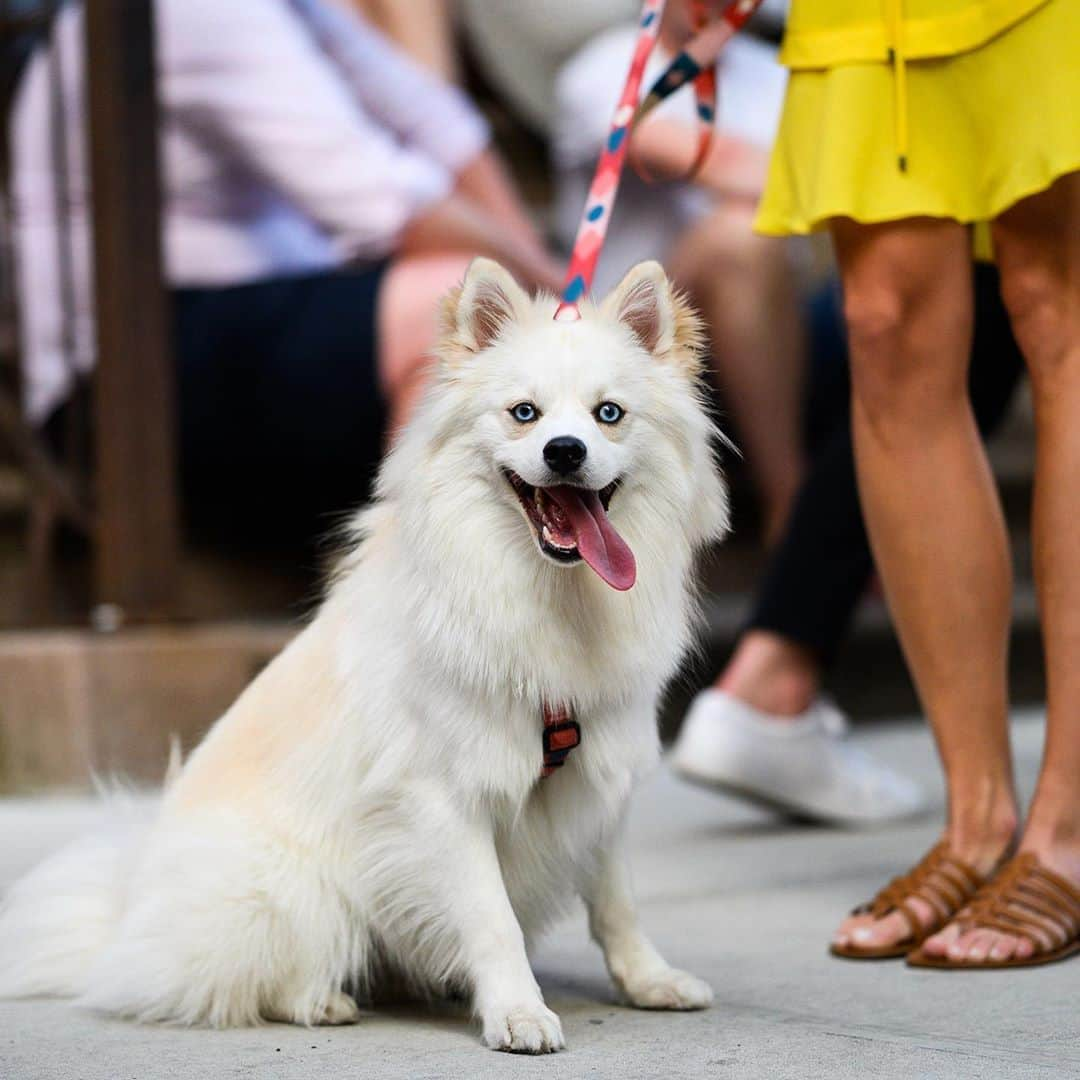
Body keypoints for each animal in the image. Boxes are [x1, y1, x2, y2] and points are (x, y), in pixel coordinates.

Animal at [0, 257, 730, 1049]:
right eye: (524, 414)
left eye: (609, 415)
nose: (564, 452)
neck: (548, 595)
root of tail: (123, 917)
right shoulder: (445, 798)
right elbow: (492, 918)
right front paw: (517, 1011)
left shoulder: (601, 779)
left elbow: (617, 901)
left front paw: (648, 981)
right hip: (293, 889)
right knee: (242, 977)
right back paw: (320, 999)